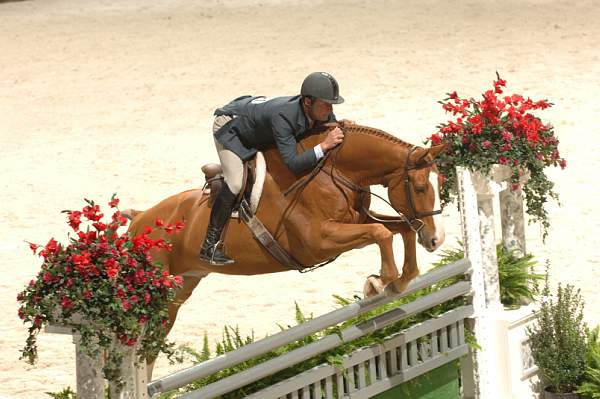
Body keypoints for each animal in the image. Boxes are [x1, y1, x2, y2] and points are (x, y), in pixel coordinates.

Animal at [125, 123, 446, 370]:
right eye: (420, 188)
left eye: (441, 182)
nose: (436, 239)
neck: (333, 170)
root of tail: (139, 221)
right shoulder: (319, 241)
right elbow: (381, 233)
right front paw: (376, 284)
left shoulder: (359, 220)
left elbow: (400, 229)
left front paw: (399, 281)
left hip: (177, 293)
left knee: (150, 348)